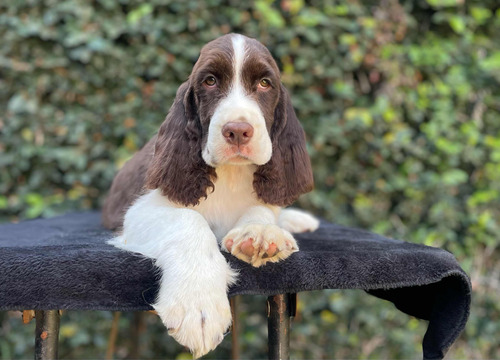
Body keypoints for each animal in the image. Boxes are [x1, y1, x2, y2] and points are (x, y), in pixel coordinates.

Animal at [102, 33, 318, 358]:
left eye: (264, 83)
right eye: (210, 81)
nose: (238, 131)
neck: (230, 174)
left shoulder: (264, 195)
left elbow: (263, 209)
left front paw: (259, 234)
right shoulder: (139, 212)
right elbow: (188, 220)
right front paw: (198, 305)